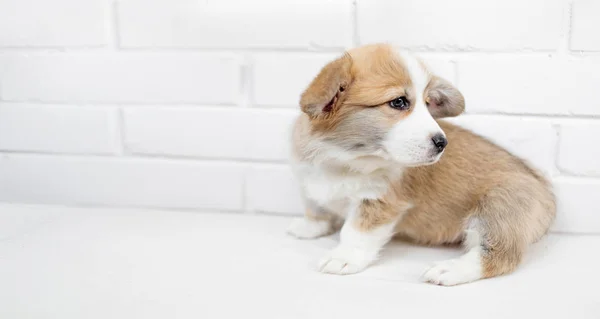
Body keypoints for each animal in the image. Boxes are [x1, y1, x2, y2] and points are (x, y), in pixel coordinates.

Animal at [288, 43, 556, 286]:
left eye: (427, 104)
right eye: (398, 102)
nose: (442, 143)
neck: (344, 160)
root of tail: (546, 192)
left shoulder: (379, 202)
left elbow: (356, 232)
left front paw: (344, 257)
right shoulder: (307, 178)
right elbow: (315, 206)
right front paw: (309, 227)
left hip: (497, 207)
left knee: (500, 255)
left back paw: (450, 269)